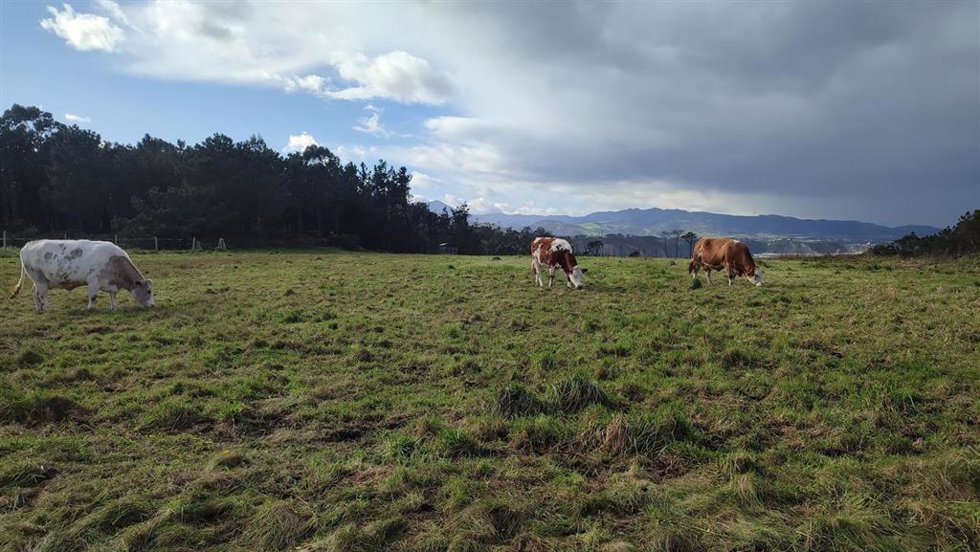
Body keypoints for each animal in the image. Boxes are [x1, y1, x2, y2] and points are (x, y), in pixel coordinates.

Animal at [11, 240, 155, 311]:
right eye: (148, 291)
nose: (153, 305)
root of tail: (28, 244)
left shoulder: (110, 283)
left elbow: (112, 295)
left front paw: (114, 307)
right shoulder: (93, 281)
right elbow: (93, 296)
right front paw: (90, 308)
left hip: (40, 281)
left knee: (34, 292)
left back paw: (38, 308)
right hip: (39, 278)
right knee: (42, 295)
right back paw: (49, 308)